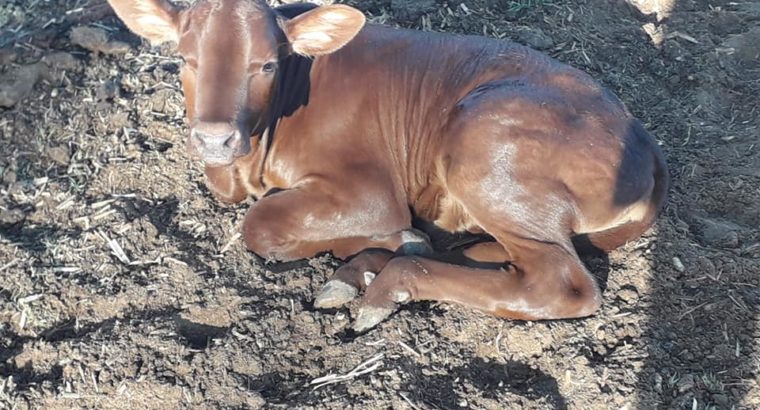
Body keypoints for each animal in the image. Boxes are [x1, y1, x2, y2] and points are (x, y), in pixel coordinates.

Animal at [106, 0, 668, 332]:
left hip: (484, 150)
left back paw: (387, 279)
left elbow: (261, 223)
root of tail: (645, 140)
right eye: (184, 59)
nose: (214, 138)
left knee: (558, 281)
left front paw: (376, 241)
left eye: (265, 64)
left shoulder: (370, 192)